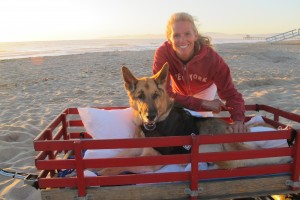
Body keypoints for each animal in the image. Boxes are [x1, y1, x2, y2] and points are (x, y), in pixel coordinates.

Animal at [98, 63, 290, 176]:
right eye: (140, 96)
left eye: (155, 95)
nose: (150, 116)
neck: (159, 122)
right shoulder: (135, 149)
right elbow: (116, 158)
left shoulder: (150, 161)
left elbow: (114, 167)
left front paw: (100, 172)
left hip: (234, 151)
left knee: (255, 159)